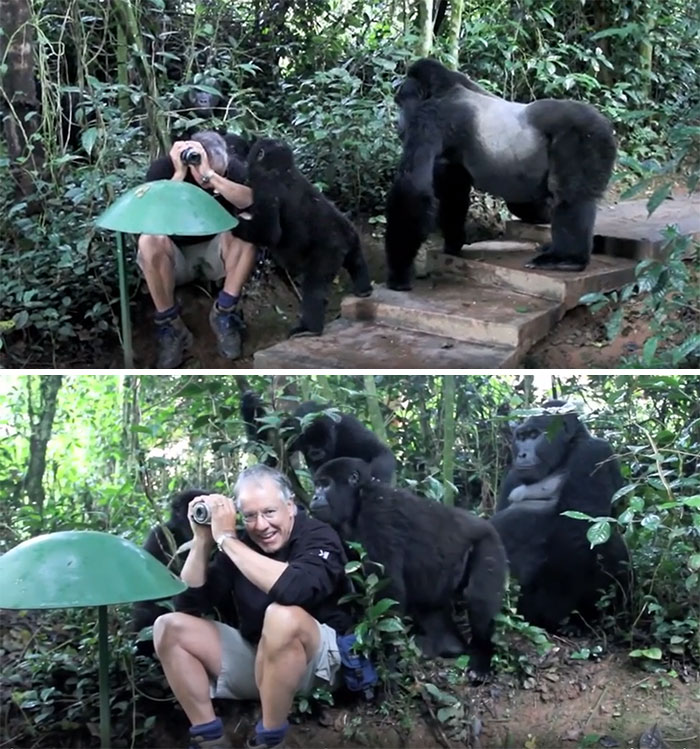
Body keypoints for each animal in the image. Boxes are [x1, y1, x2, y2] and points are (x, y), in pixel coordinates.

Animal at [238, 138, 374, 336]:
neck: (282, 168)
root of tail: (344, 233)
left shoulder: (265, 184)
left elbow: (269, 232)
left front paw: (235, 225)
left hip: (330, 251)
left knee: (314, 287)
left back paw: (310, 328)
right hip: (352, 235)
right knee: (356, 261)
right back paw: (364, 289)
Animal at [241, 392, 396, 486]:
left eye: (323, 441)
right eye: (308, 443)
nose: (316, 452)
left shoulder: (350, 431)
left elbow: (379, 452)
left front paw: (376, 480)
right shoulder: (289, 430)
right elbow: (265, 450)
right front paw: (249, 405)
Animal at [310, 456, 504, 676]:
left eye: (325, 484)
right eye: (317, 485)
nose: (314, 497)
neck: (358, 496)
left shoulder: (377, 513)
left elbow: (387, 588)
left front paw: (386, 658)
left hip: (490, 543)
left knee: (479, 599)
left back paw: (482, 656)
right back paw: (449, 644)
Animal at [388, 55, 616, 288]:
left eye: (400, 103)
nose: (398, 124)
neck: (442, 89)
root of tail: (606, 123)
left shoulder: (429, 118)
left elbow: (412, 190)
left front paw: (399, 273)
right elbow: (453, 190)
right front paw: (453, 242)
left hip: (586, 136)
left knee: (571, 197)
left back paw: (567, 259)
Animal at [490, 400, 632, 628]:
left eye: (534, 435)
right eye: (521, 437)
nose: (521, 454)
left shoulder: (593, 452)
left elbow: (583, 528)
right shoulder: (512, 475)